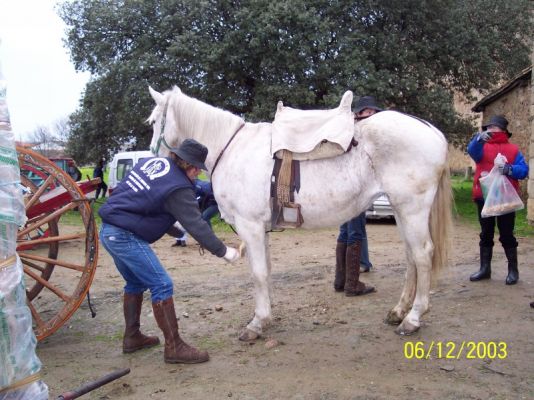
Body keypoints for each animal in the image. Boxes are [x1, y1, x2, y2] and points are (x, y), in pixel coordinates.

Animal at [148, 86, 452, 340]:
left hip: (412, 209)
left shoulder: (250, 227)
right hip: (402, 211)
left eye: (152, 122)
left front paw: (256, 324)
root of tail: (432, 131)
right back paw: (399, 311)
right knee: (411, 256)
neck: (232, 149)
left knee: (422, 255)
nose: (153, 161)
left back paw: (413, 318)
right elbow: (266, 271)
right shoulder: (260, 229)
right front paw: (265, 316)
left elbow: (258, 273)